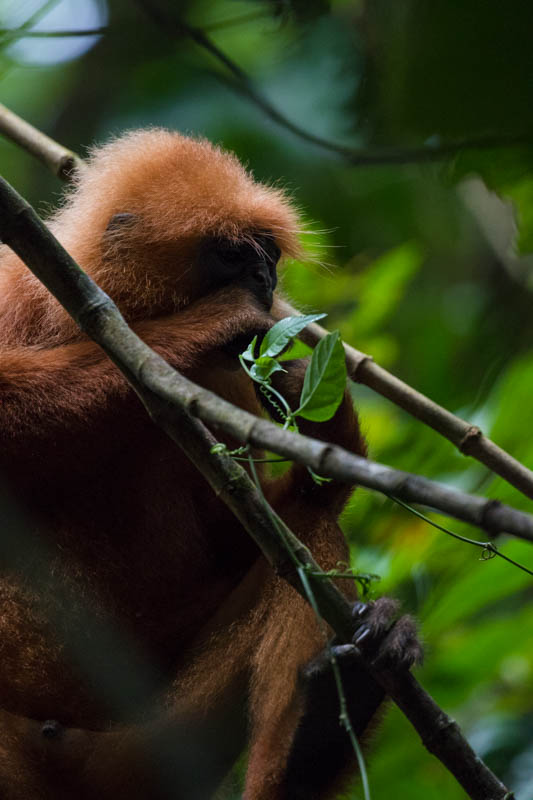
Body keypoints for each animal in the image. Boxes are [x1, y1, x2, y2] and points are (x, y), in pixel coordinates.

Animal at [0, 128, 420, 796]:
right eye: (231, 254)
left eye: (267, 254)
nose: (265, 278)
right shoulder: (15, 294)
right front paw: (214, 320)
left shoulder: (228, 387)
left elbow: (247, 531)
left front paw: (328, 426)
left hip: (153, 749)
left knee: (303, 536)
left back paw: (323, 724)